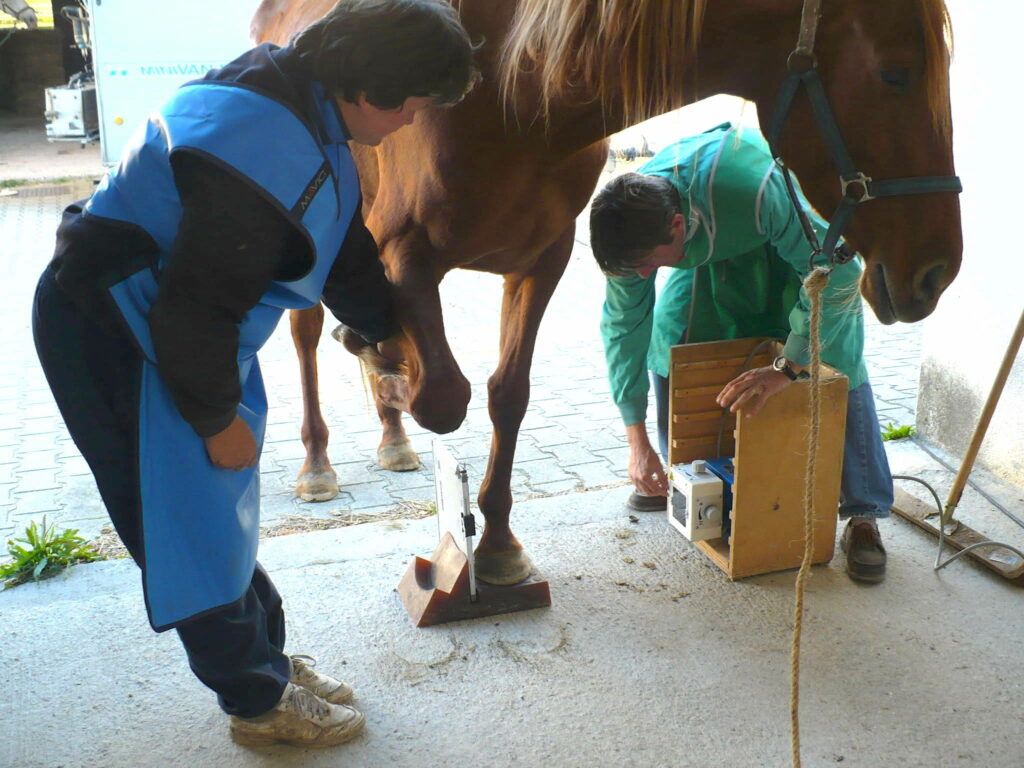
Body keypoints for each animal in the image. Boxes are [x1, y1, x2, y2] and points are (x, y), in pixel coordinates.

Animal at [247, 0, 958, 585]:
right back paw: (319, 460)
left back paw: (391, 428)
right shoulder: (406, 254)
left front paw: (499, 545)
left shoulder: (544, 261)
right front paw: (390, 370)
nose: (938, 271)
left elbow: (505, 395)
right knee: (306, 337)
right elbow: (444, 397)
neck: (514, 91)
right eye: (895, 74)